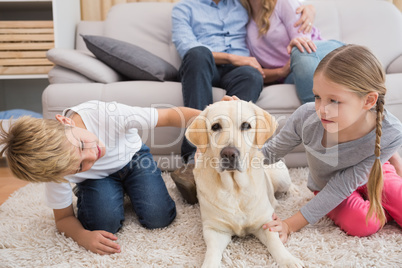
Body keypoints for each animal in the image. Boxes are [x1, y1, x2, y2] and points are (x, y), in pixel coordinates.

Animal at [187, 100, 304, 268]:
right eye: (215, 126)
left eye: (246, 125)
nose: (229, 153)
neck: (235, 187)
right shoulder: (215, 229)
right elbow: (212, 252)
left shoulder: (265, 222)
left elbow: (275, 243)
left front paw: (289, 260)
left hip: (280, 177)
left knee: (288, 184)